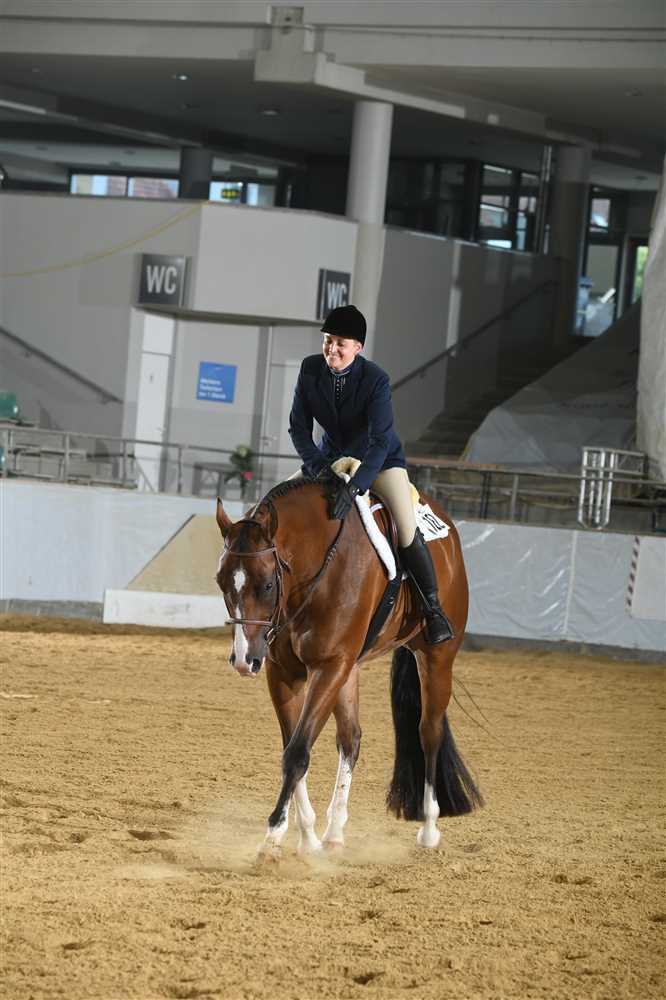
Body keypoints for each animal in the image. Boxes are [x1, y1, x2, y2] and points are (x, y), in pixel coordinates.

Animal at [214, 474, 482, 856]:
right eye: (221, 582)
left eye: (266, 585)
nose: (243, 660)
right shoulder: (284, 672)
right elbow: (293, 747)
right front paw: (307, 836)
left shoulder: (329, 666)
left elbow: (297, 752)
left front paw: (273, 835)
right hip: (351, 668)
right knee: (350, 737)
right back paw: (334, 831)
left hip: (436, 657)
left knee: (429, 732)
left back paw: (429, 829)